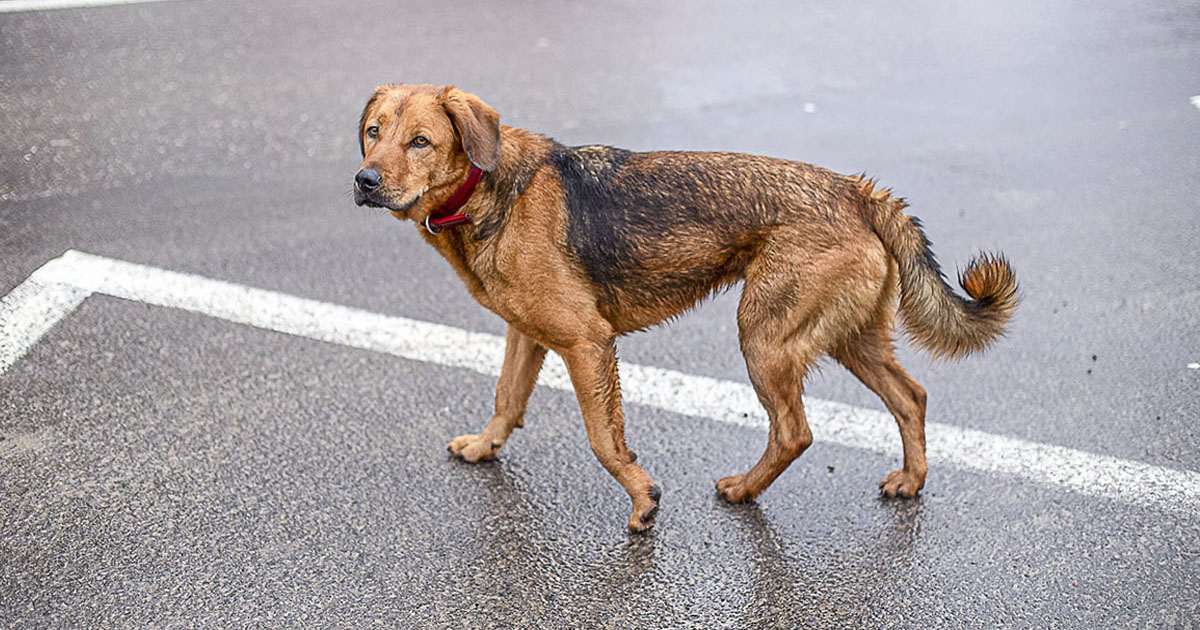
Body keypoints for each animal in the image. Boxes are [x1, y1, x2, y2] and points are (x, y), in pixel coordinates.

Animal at [350, 82, 1017, 530]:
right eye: (373, 133)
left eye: (420, 141)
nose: (364, 181)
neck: (487, 191)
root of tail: (856, 191)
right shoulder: (528, 334)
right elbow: (506, 399)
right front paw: (484, 447)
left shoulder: (587, 343)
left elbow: (604, 438)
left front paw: (642, 499)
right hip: (847, 336)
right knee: (910, 396)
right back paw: (910, 480)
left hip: (764, 337)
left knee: (795, 431)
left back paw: (745, 490)